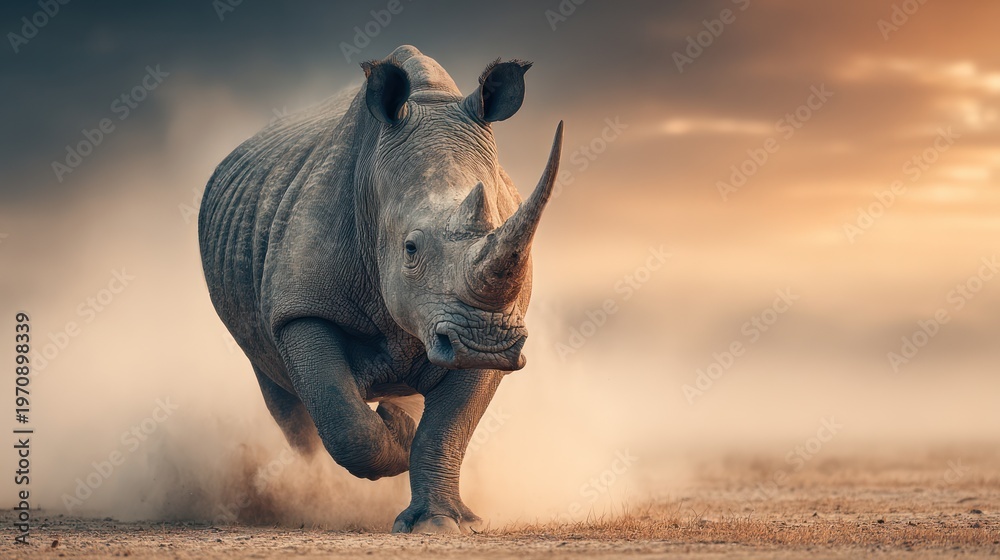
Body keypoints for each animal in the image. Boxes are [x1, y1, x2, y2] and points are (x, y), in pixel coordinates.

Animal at [198, 45, 562, 533]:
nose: (484, 341)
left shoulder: (500, 325)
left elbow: (447, 429)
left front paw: (439, 523)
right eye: (410, 249)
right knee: (284, 398)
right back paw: (312, 494)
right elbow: (343, 420)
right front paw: (396, 433)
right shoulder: (302, 308)